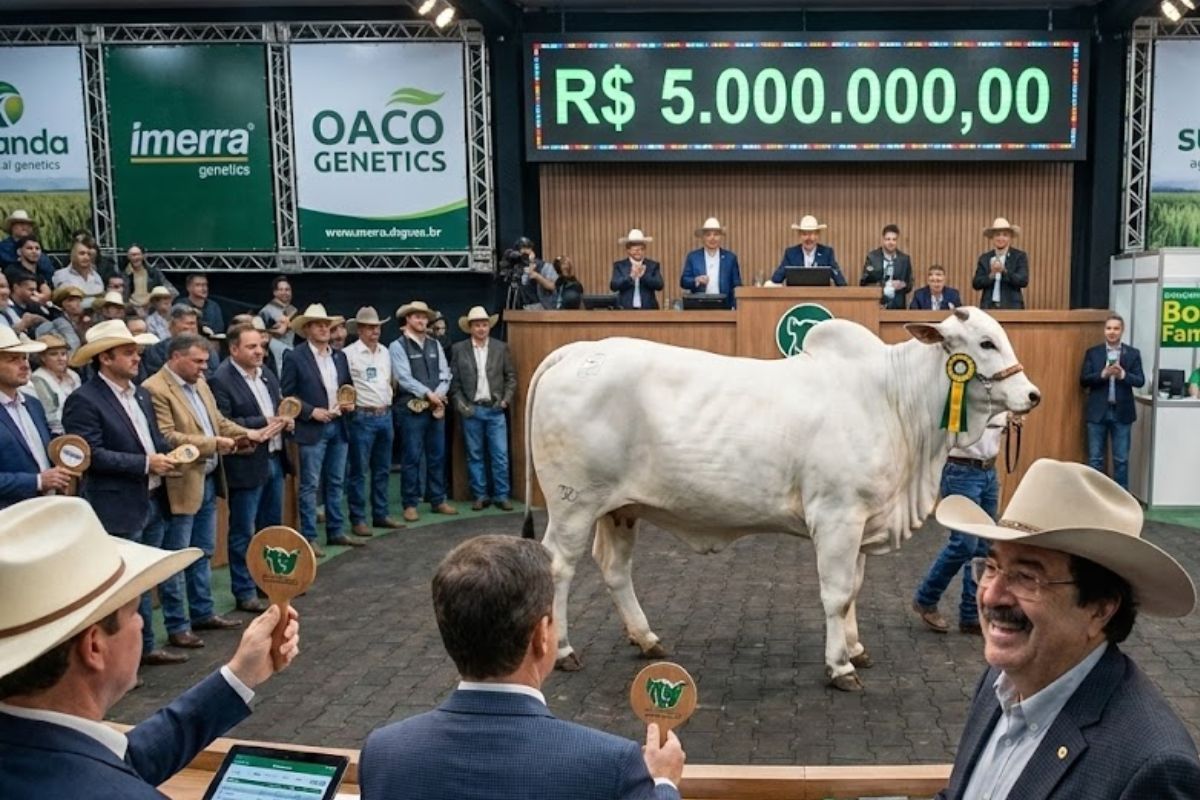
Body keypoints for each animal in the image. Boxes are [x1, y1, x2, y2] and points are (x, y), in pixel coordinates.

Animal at [520, 308, 1040, 691]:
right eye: (985, 343)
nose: (1032, 395)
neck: (894, 402)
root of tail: (580, 350)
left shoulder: (862, 519)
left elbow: (854, 589)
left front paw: (856, 650)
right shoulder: (837, 516)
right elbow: (836, 594)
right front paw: (840, 667)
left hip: (619, 509)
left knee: (614, 569)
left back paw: (647, 639)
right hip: (573, 504)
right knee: (559, 568)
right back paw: (564, 651)